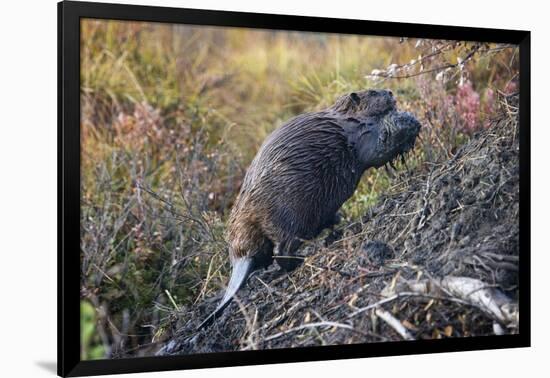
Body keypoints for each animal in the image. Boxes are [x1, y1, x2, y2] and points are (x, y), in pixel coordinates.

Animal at [198, 90, 422, 330]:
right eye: (372, 92)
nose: (389, 92)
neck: (346, 119)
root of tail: (241, 255)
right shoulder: (361, 135)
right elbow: (377, 148)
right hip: (288, 214)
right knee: (282, 251)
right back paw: (300, 259)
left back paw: (334, 223)